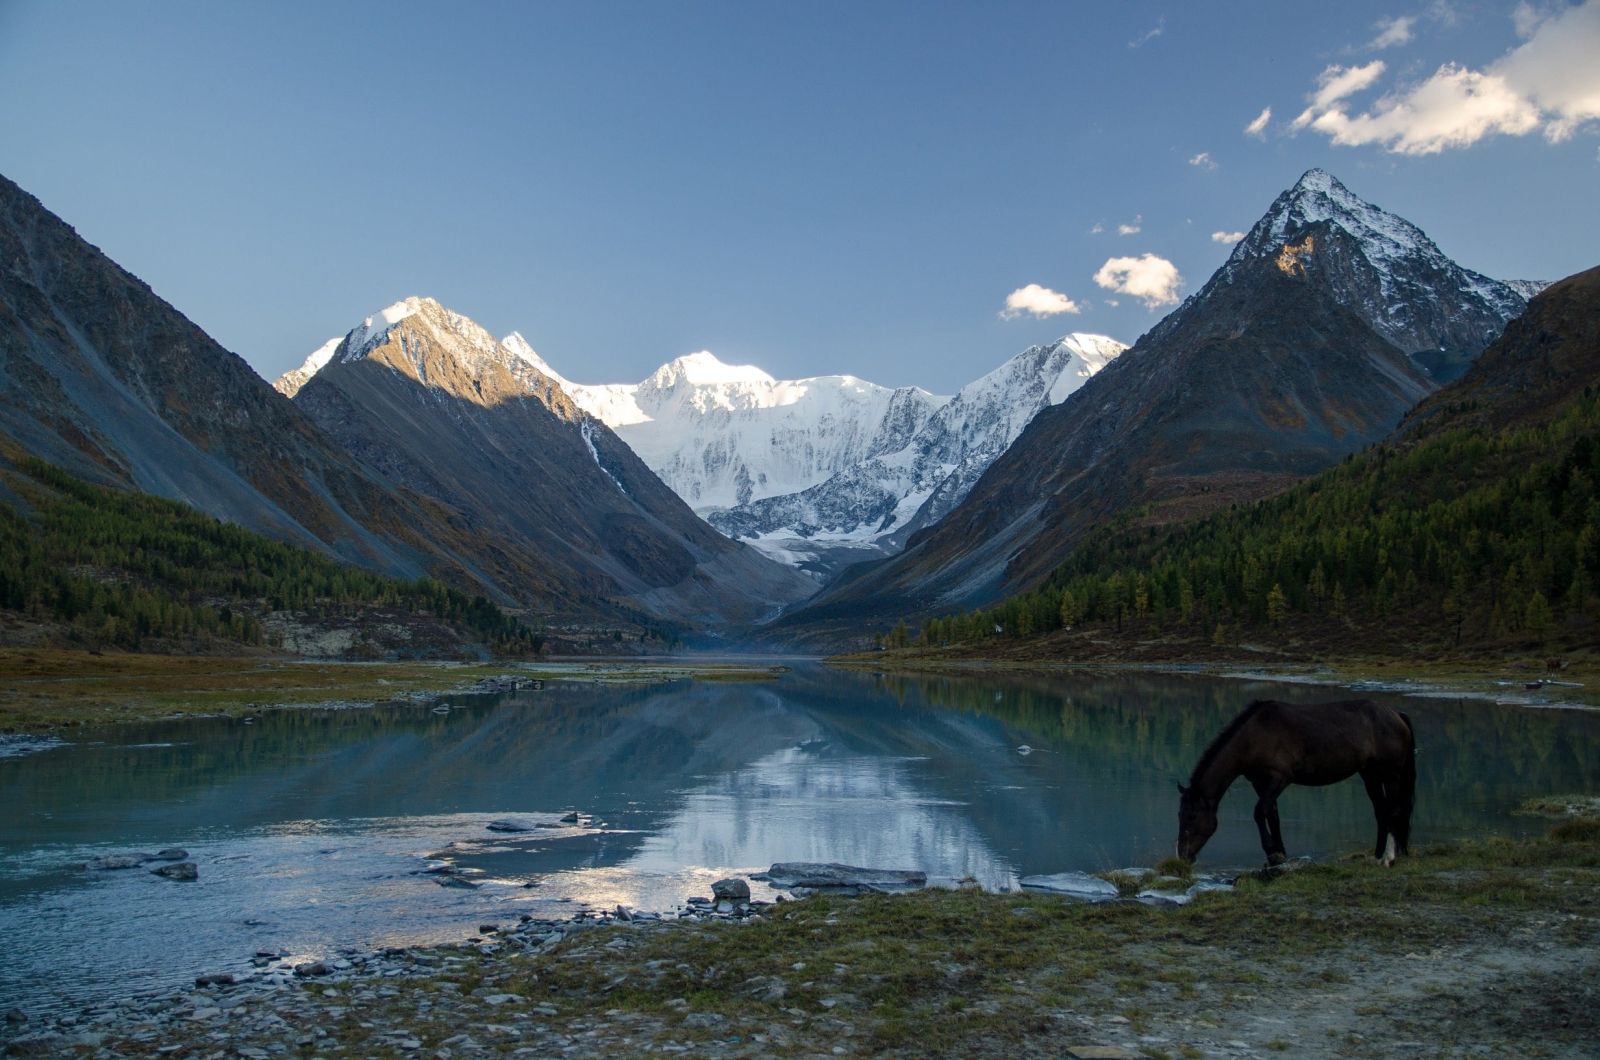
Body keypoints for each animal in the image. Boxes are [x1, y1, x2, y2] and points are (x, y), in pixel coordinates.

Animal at [1171, 701, 1420, 871]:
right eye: (1180, 815)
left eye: (1192, 817)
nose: (1182, 856)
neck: (1255, 736)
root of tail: (1396, 714)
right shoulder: (1260, 783)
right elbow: (1272, 815)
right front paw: (1278, 856)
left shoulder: (1279, 778)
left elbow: (1259, 812)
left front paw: (1272, 852)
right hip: (1370, 775)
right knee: (1381, 812)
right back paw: (1377, 856)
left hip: (1391, 775)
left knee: (1394, 811)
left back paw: (1389, 858)